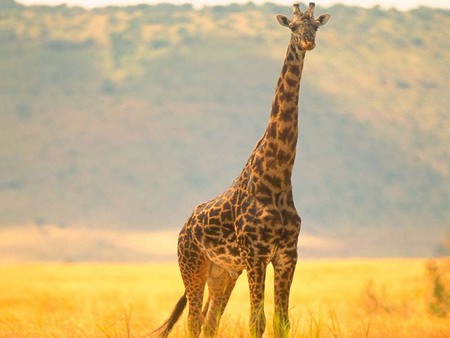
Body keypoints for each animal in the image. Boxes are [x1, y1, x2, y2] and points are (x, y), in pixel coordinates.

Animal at [155, 3, 330, 338]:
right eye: (293, 27)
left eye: (316, 25)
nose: (307, 42)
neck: (277, 176)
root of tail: (184, 228)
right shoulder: (256, 254)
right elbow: (256, 322)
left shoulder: (287, 254)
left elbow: (282, 322)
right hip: (192, 265)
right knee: (193, 320)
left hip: (223, 272)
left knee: (210, 321)